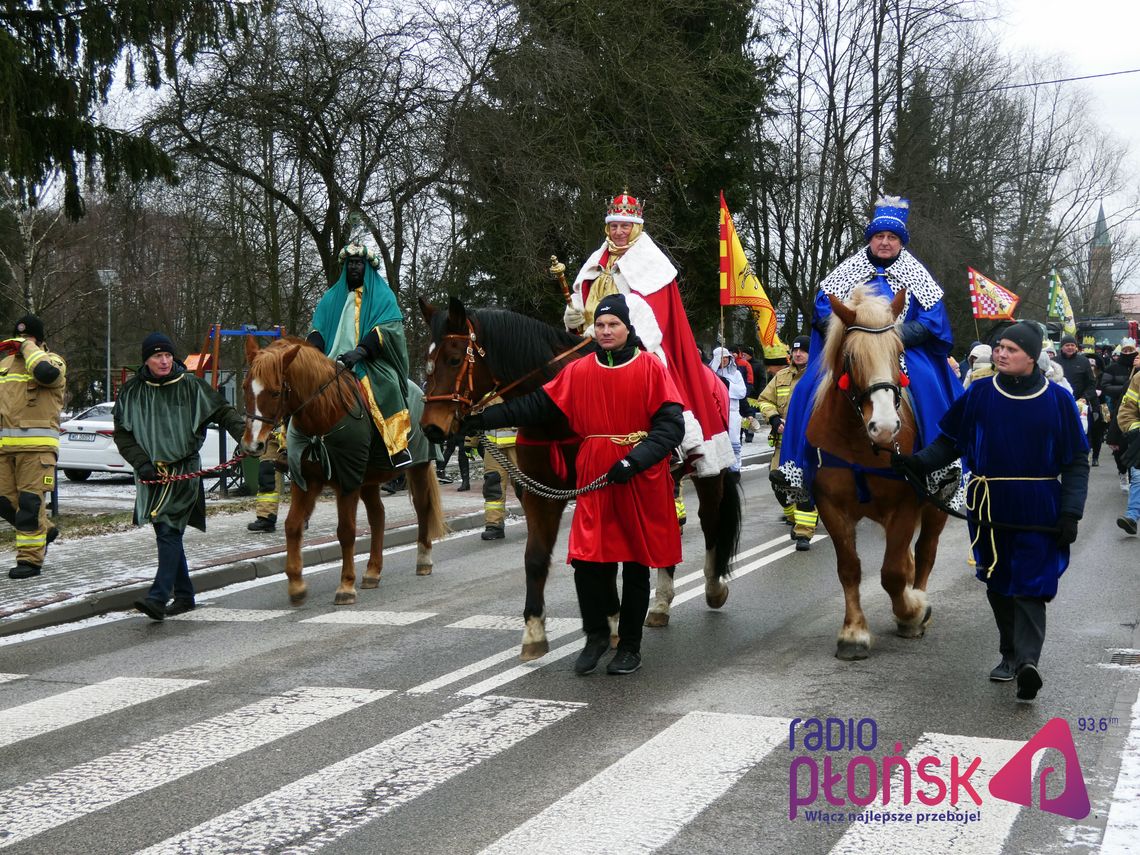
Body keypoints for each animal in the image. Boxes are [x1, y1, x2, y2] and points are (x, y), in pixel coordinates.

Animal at [242, 337, 446, 606]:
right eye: (245, 388)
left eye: (275, 392)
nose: (252, 445)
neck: (323, 415)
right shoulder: (305, 481)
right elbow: (292, 525)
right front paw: (296, 585)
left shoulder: (348, 482)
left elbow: (346, 531)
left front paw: (346, 586)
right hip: (369, 480)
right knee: (378, 517)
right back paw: (372, 572)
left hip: (418, 468)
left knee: (422, 508)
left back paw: (423, 559)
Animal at [414, 298, 743, 661]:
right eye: (427, 362)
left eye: (454, 359)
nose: (432, 427)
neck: (554, 417)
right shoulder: (540, 497)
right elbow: (536, 558)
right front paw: (534, 631)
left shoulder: (599, 490)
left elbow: (605, 558)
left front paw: (612, 625)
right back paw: (660, 604)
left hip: (709, 474)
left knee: (711, 524)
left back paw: (713, 588)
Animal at [807, 288, 948, 661]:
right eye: (851, 357)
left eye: (899, 354)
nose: (884, 427)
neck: (860, 444)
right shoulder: (831, 507)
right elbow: (850, 569)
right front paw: (853, 633)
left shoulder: (906, 506)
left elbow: (893, 573)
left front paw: (912, 612)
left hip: (936, 507)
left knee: (925, 552)